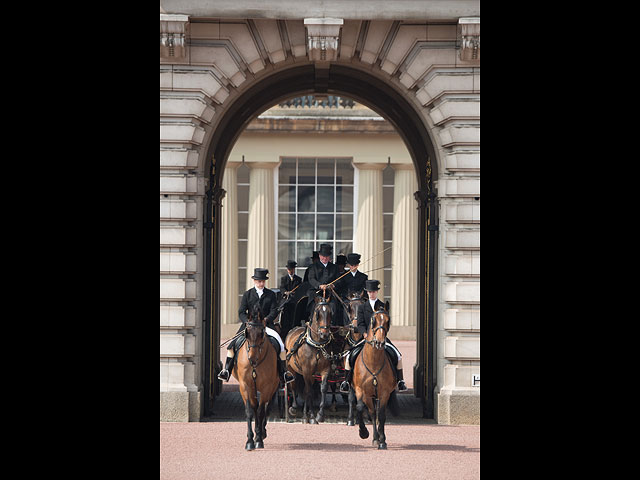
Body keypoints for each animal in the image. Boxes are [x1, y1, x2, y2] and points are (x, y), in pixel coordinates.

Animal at [232, 306, 278, 448]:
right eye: (247, 332)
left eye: (261, 333)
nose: (252, 359)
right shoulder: (245, 386)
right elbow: (250, 411)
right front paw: (250, 441)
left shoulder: (267, 387)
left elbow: (261, 411)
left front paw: (258, 439)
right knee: (255, 407)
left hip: (274, 386)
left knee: (266, 408)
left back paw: (262, 432)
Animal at [284, 296, 336, 424]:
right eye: (318, 313)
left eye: (330, 313)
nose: (324, 334)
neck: (317, 345)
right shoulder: (306, 370)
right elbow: (309, 391)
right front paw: (311, 416)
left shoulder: (325, 370)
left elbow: (323, 388)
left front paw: (319, 415)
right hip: (292, 369)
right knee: (294, 385)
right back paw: (294, 408)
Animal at [352, 310, 398, 448]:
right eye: (374, 320)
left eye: (388, 321)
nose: (380, 342)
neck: (373, 362)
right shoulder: (361, 391)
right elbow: (360, 408)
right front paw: (363, 433)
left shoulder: (384, 393)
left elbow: (381, 415)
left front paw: (382, 440)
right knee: (372, 413)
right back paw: (374, 438)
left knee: (377, 414)